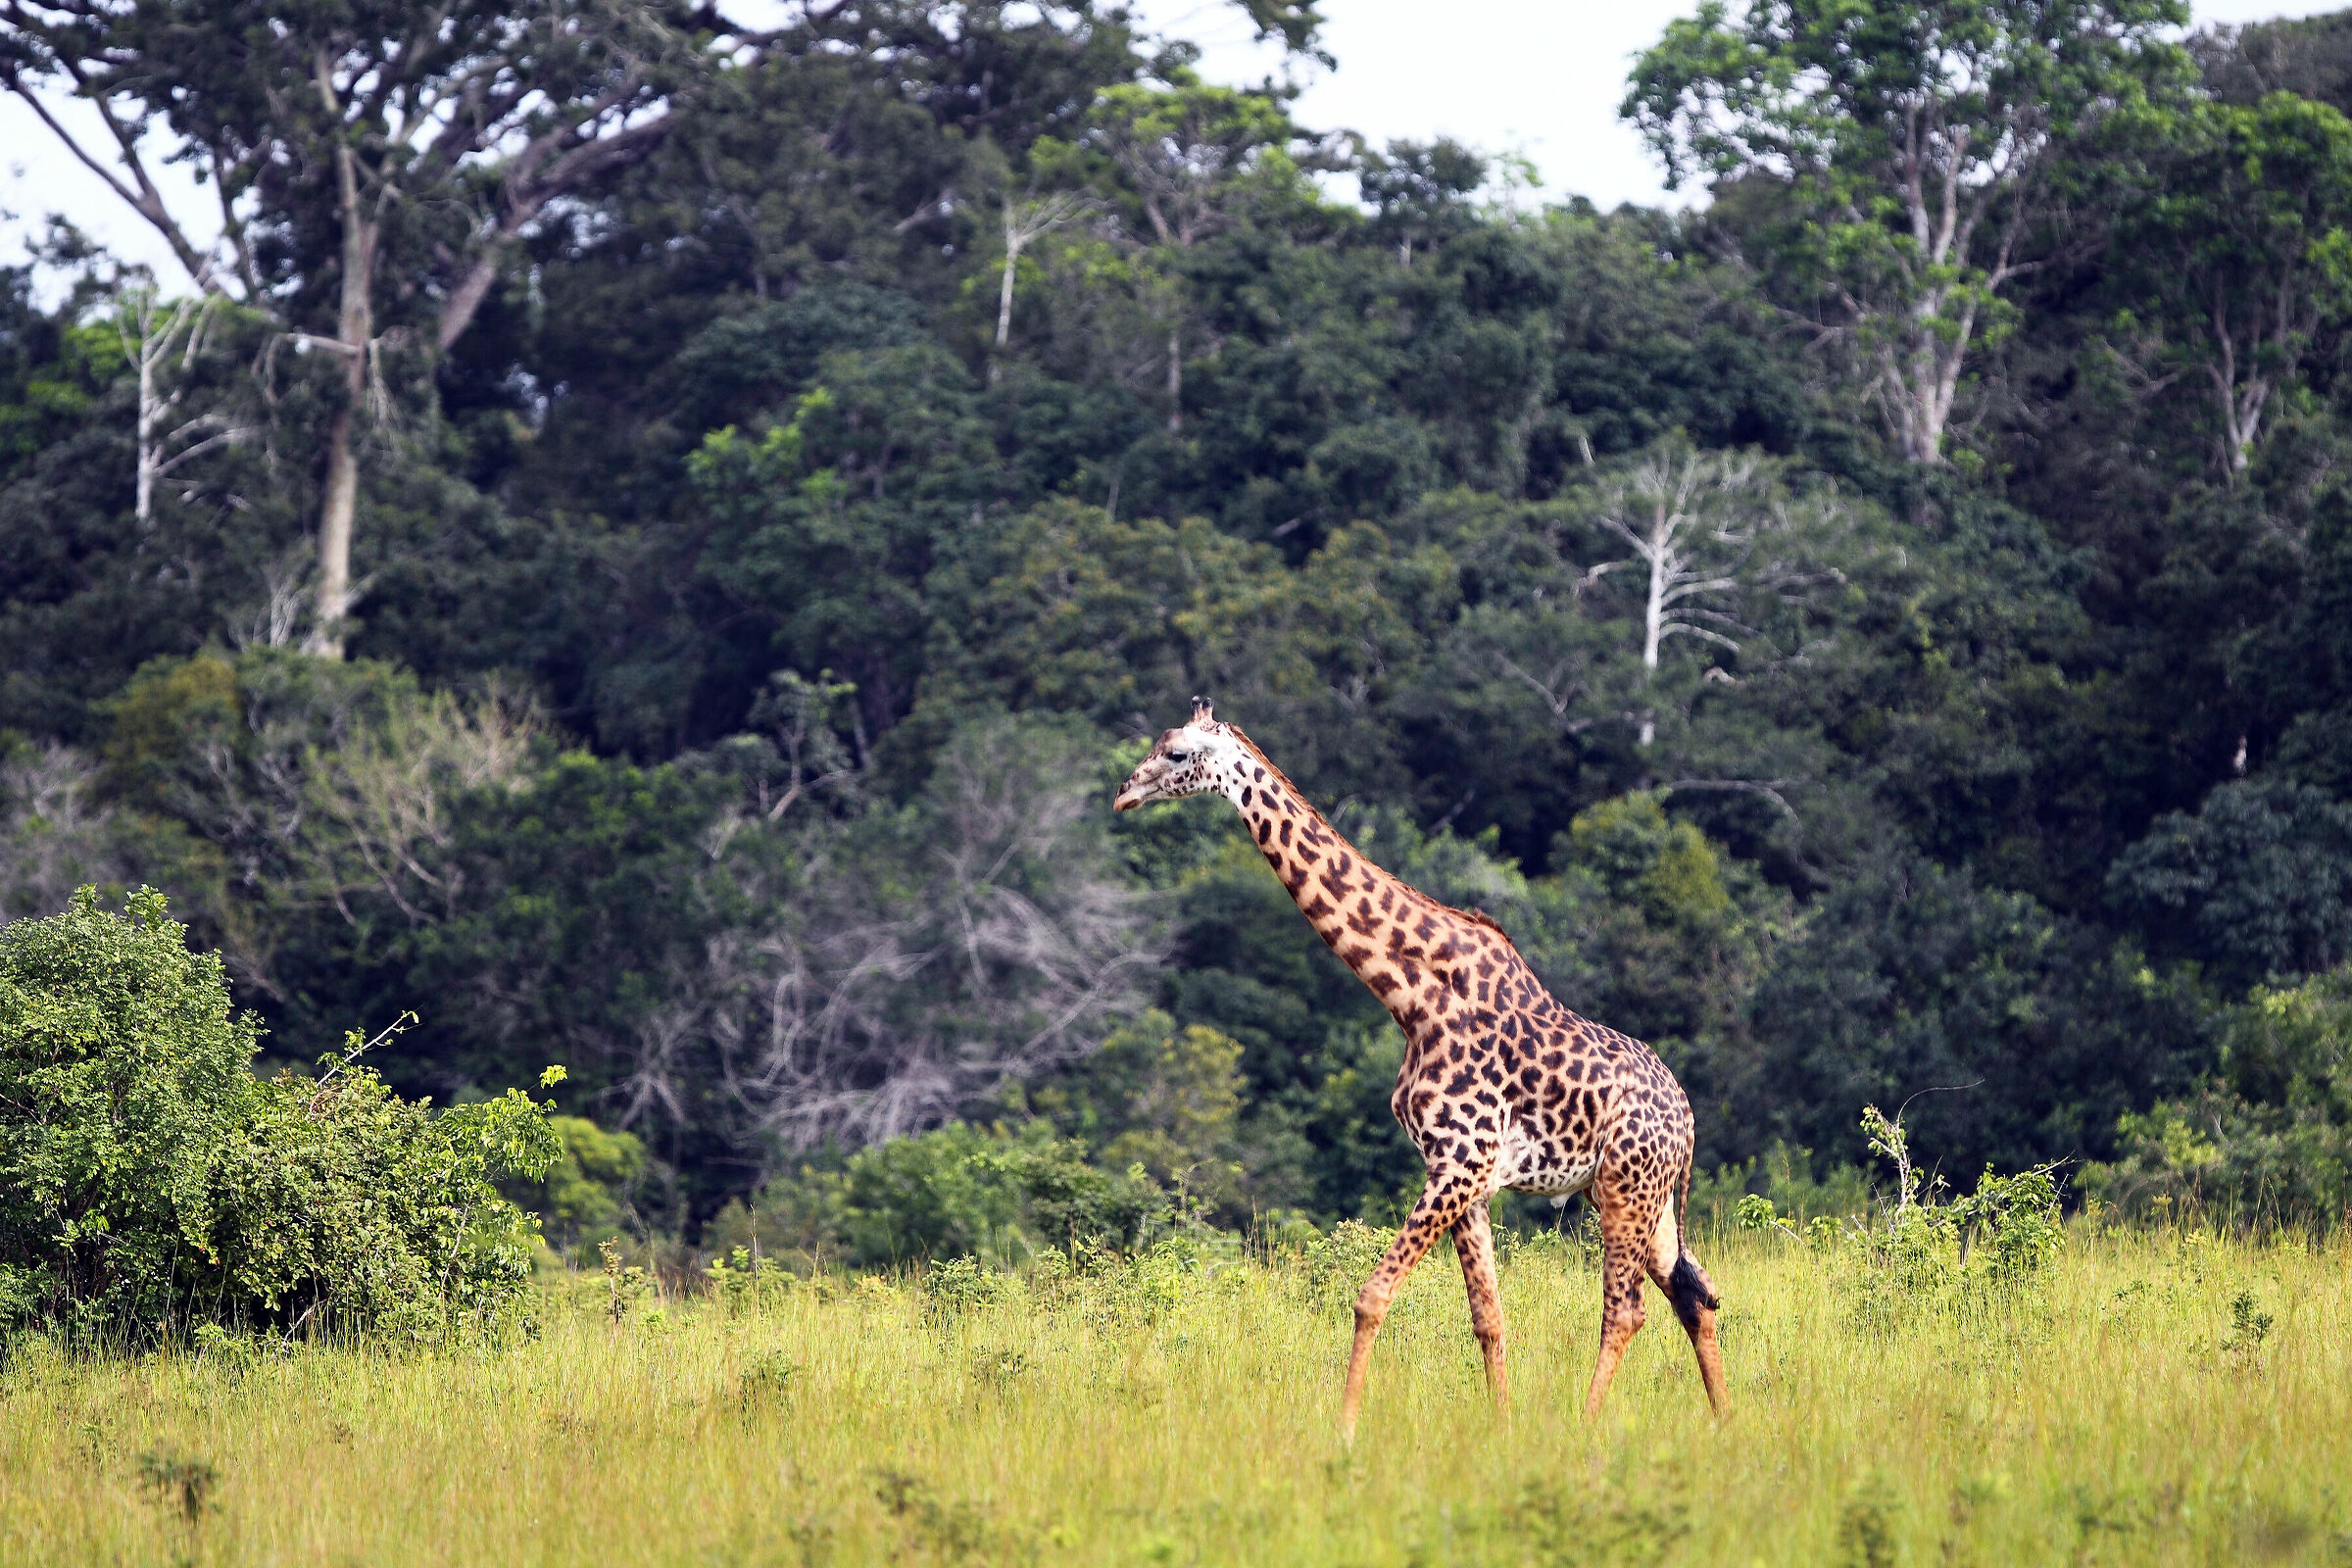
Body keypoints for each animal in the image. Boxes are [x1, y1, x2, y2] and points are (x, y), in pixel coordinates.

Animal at [1114, 699, 1727, 1437]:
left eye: (1177, 753)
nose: (1124, 793)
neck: (1411, 996)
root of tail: (1687, 1118)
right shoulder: (1464, 1175)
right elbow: (1489, 1318)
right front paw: (1501, 1428)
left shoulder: (1460, 1161)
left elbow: (1372, 1295)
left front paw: (1345, 1430)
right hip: (1642, 1198)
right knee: (1696, 1295)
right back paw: (1729, 1425)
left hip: (1626, 1190)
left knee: (1627, 1309)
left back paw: (1585, 1426)